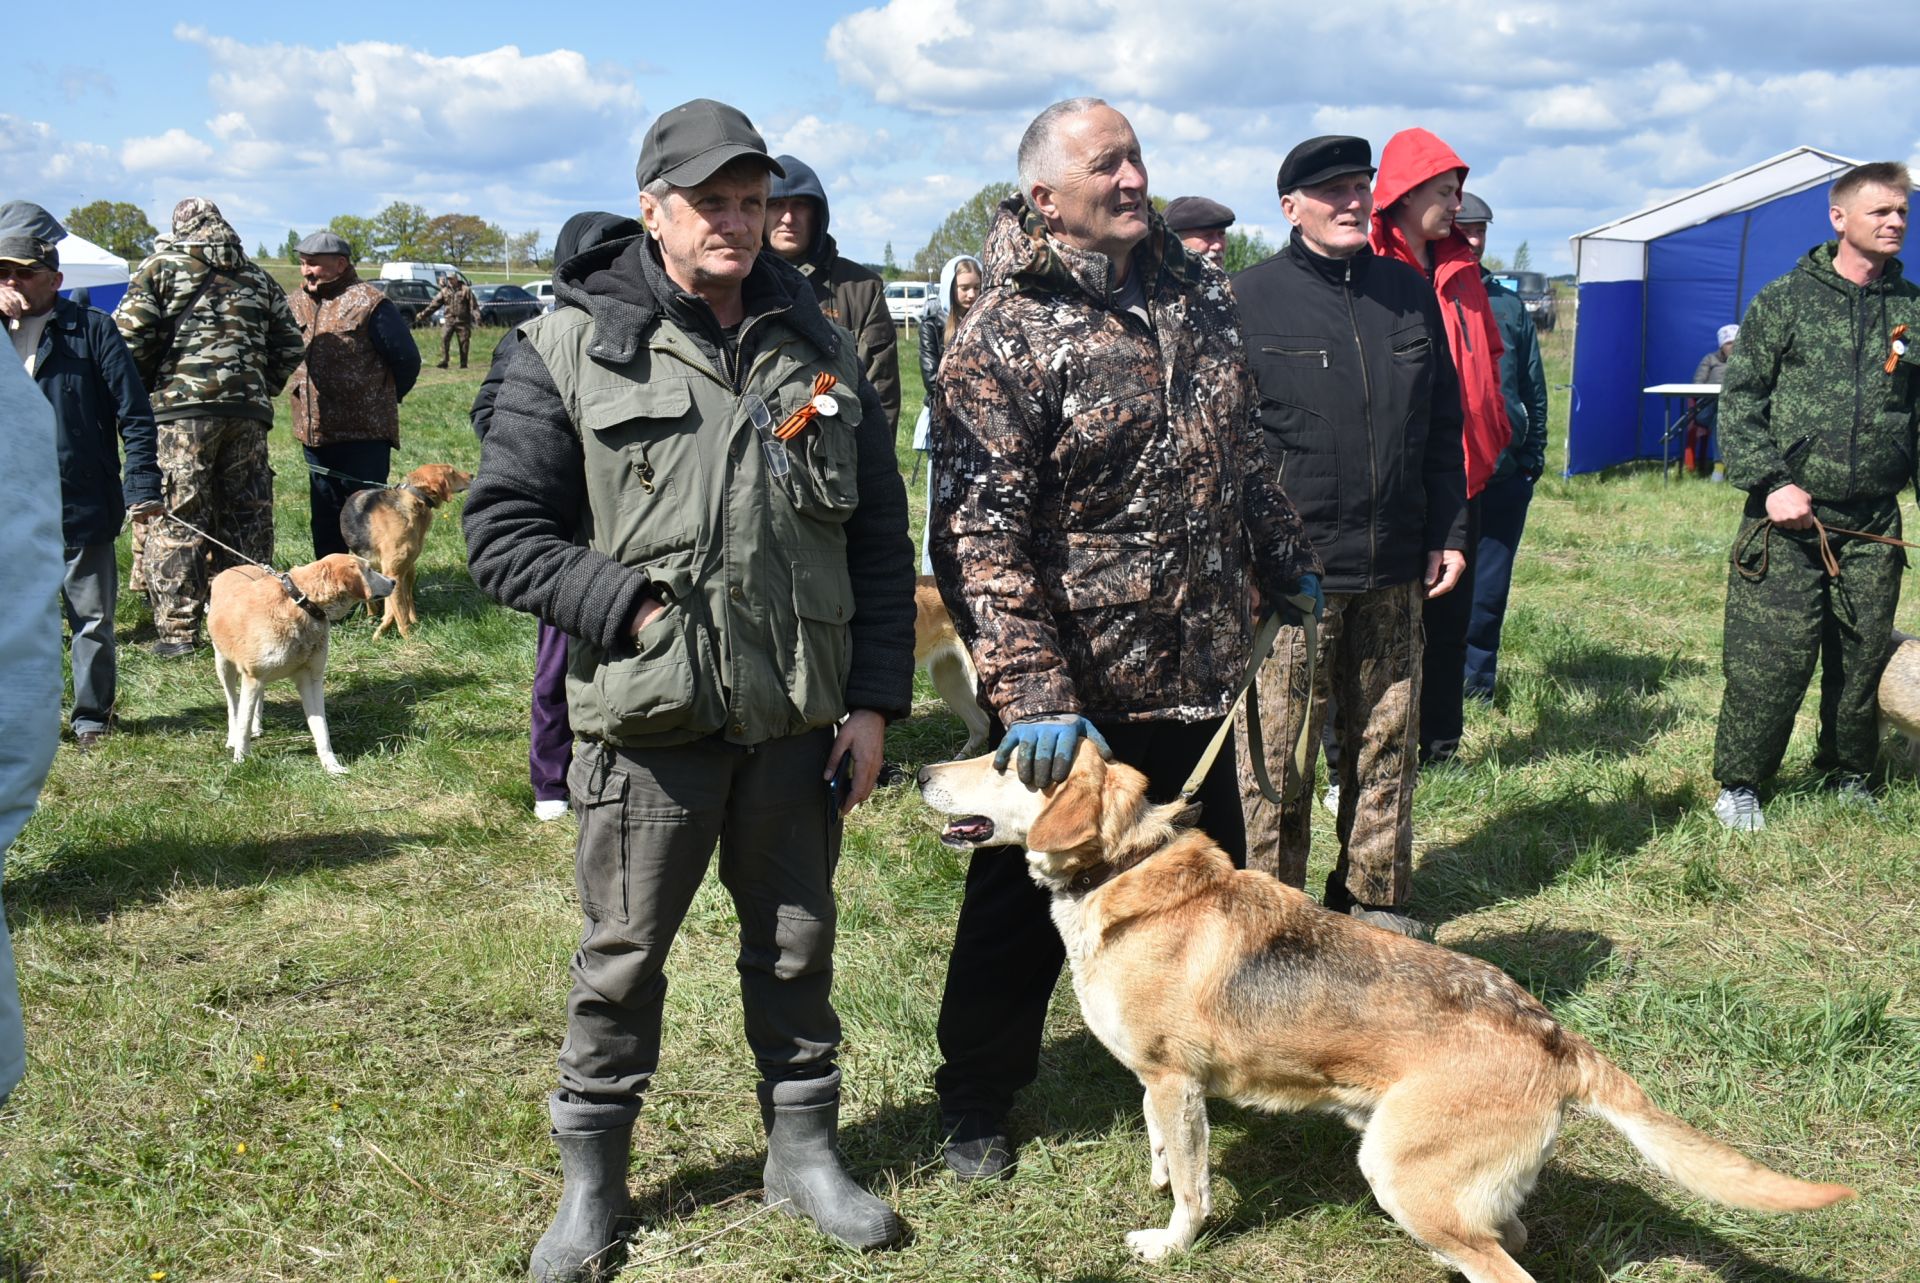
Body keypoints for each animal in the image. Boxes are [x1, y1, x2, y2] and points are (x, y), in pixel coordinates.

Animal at [208, 553, 395, 772]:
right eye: (369, 570)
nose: (394, 581)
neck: (303, 604)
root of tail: (232, 568)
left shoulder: (310, 679)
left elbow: (321, 728)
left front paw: (331, 766)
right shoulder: (253, 676)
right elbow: (243, 723)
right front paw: (241, 760)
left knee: (257, 700)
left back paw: (257, 726)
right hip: (224, 665)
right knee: (233, 706)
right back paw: (233, 738)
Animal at [339, 462, 470, 637]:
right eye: (452, 472)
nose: (472, 475)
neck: (416, 500)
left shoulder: (397, 573)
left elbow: (398, 608)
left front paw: (386, 628)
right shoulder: (393, 573)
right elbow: (400, 614)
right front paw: (409, 639)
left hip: (409, 570)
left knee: (408, 602)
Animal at [921, 745, 1850, 1275]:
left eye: (1005, 761)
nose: (921, 772)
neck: (1123, 870)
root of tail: (1555, 1034)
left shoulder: (1175, 1079)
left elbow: (1191, 1189)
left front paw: (1169, 1242)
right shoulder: (1161, 1086)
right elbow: (1165, 1152)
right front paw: (1155, 1177)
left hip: (1402, 1175)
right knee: (1509, 1241)